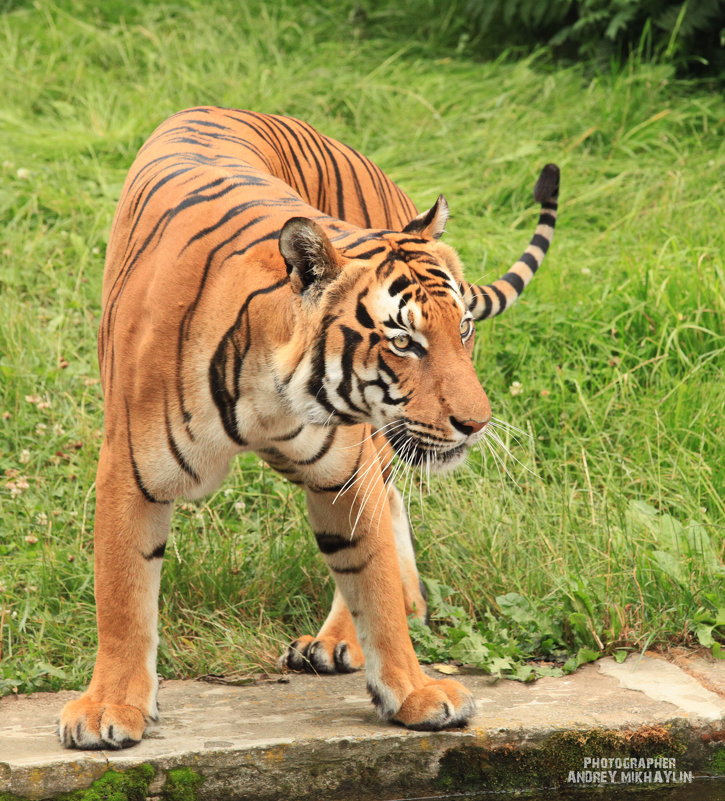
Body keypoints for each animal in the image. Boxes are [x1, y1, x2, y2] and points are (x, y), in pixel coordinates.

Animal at [58, 106, 560, 752]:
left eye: (464, 329)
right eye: (405, 341)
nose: (477, 424)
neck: (271, 392)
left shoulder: (343, 475)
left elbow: (371, 581)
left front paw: (414, 693)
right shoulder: (129, 471)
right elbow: (122, 596)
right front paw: (108, 707)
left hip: (375, 442)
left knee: (388, 506)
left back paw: (349, 634)